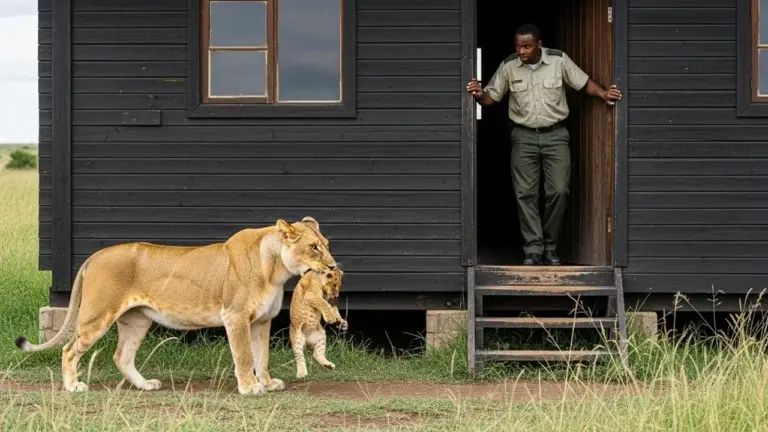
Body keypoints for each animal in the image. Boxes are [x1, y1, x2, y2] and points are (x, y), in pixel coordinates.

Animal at [14, 217, 337, 395]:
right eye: (314, 247)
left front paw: (268, 384)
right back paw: (73, 387)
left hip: (137, 320)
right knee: (70, 350)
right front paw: (250, 387)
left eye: (327, 244)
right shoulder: (236, 317)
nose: (333, 266)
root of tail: (96, 254)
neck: (275, 270)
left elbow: (263, 357)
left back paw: (145, 385)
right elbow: (245, 356)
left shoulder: (261, 321)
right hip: (97, 316)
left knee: (122, 356)